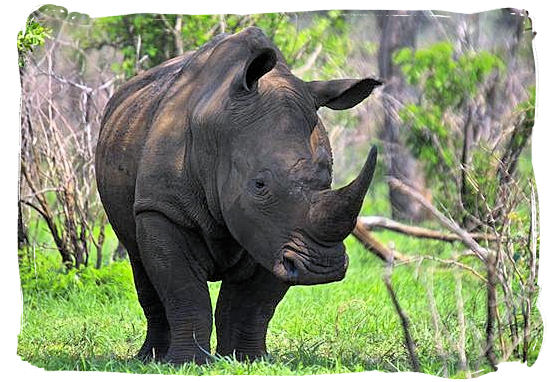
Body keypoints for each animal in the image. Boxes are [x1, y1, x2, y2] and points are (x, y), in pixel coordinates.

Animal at [96, 26, 380, 364]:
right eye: (259, 185)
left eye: (328, 177)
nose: (322, 268)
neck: (219, 129)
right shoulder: (163, 208)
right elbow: (183, 291)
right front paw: (187, 363)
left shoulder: (275, 235)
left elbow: (252, 305)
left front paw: (247, 360)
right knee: (138, 258)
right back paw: (148, 359)